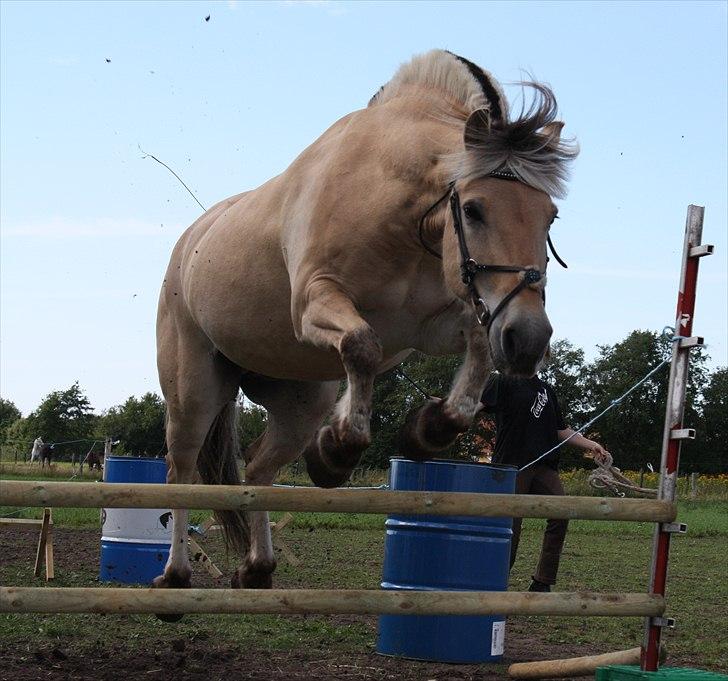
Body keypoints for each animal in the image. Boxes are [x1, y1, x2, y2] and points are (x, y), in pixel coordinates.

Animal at [156, 49, 576, 596]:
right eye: (474, 209)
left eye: (549, 217)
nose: (528, 339)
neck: (401, 213)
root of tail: (190, 243)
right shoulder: (316, 300)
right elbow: (361, 346)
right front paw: (337, 451)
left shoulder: (436, 324)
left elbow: (477, 352)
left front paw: (427, 429)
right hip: (194, 390)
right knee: (181, 470)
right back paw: (175, 577)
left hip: (300, 397)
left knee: (260, 466)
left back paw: (257, 569)